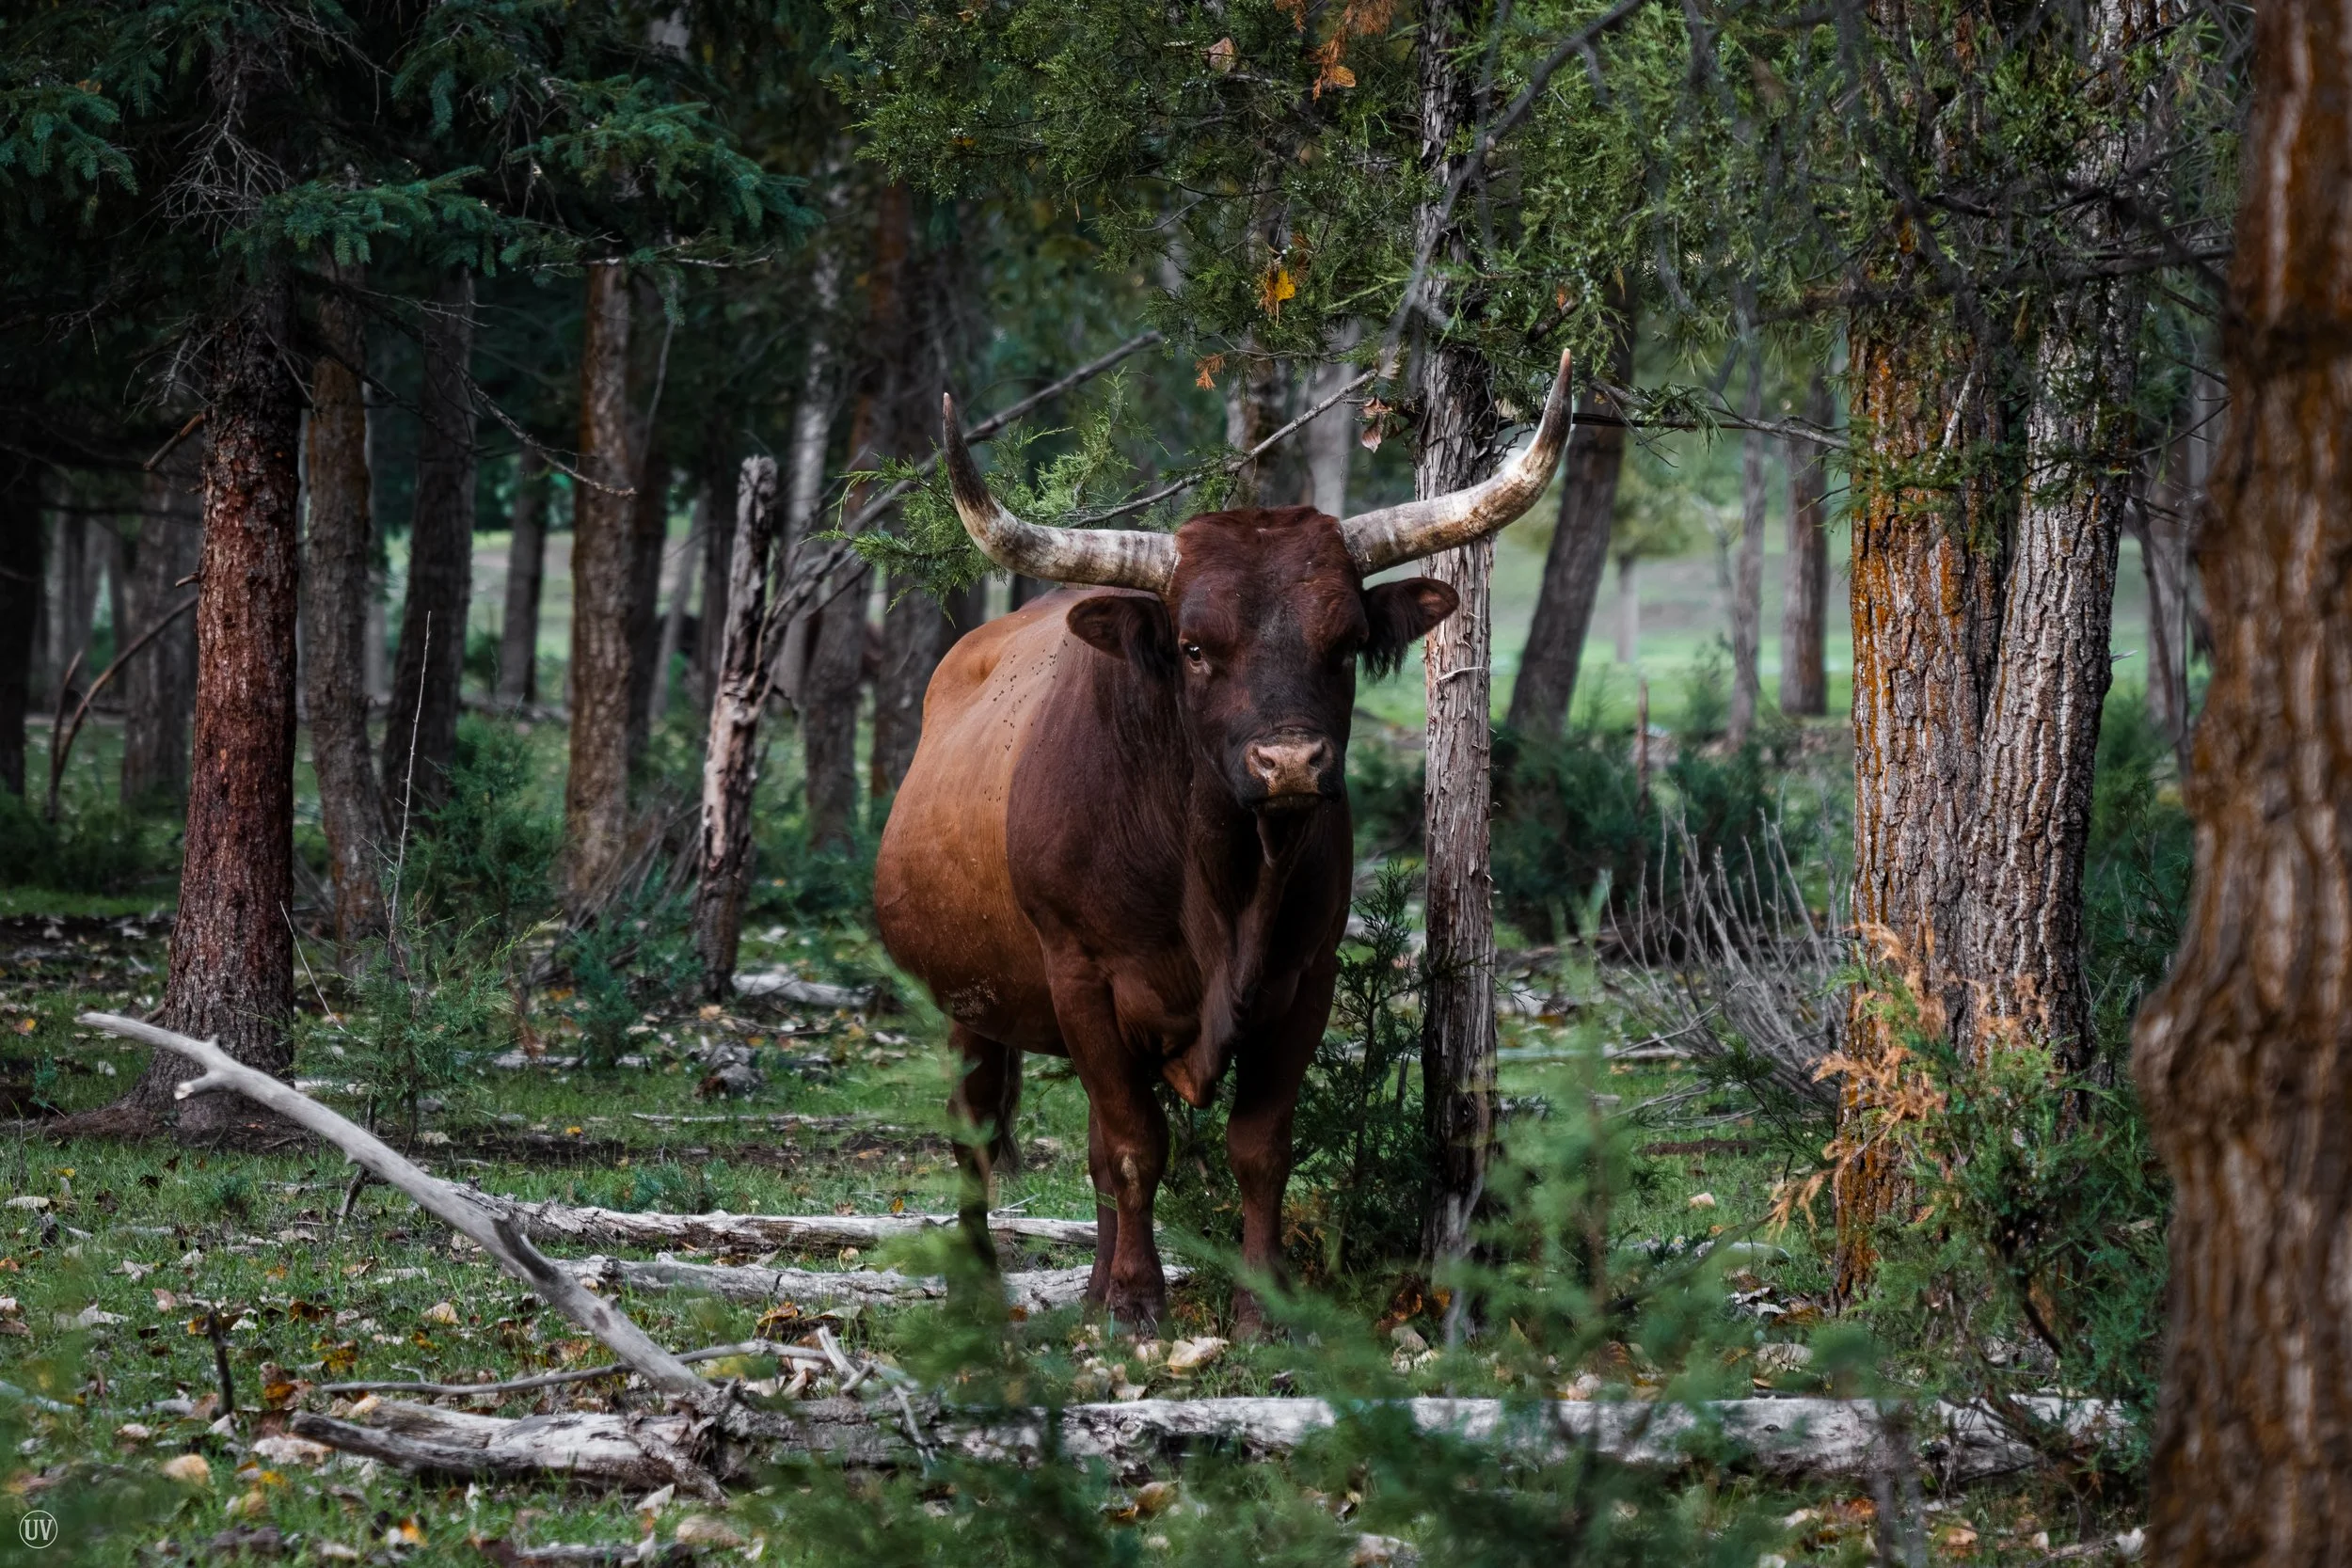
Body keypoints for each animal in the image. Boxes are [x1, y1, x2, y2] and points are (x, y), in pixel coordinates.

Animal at [873, 350, 1574, 1330]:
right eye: (1195, 646)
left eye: (1347, 642)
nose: (1289, 763)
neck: (1224, 881)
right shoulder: (1082, 978)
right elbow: (1137, 1145)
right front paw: (1137, 1303)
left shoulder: (1304, 978)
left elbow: (1256, 1144)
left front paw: (1258, 1301)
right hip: (970, 1006)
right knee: (979, 1133)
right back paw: (985, 1287)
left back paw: (1093, 1283)